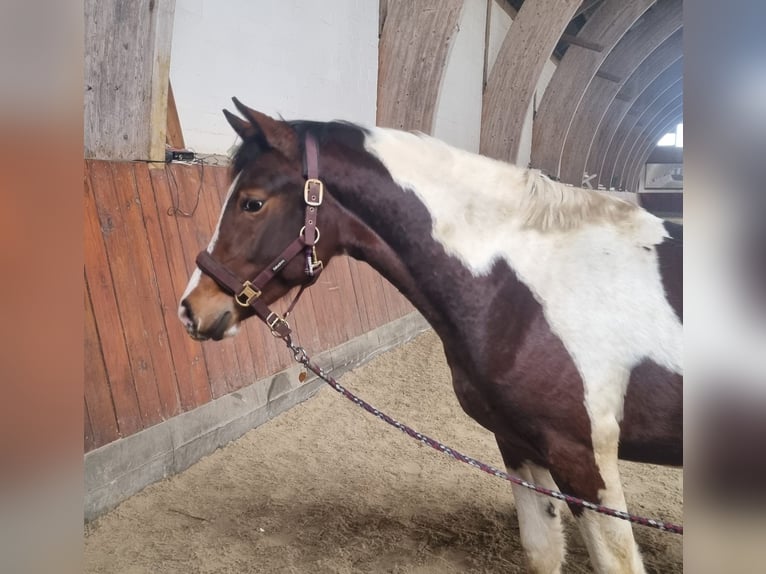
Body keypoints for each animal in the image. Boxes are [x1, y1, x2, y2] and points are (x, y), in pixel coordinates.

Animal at [178, 100, 684, 574]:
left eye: (252, 203)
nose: (190, 310)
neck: (525, 288)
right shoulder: (519, 446)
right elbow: (541, 552)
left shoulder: (585, 461)